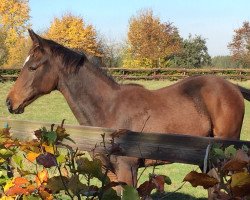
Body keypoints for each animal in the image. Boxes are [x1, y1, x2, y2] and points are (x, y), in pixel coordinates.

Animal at [5, 29, 250, 188]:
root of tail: (233, 87)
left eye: (32, 66)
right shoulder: (110, 172)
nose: (10, 102)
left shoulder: (127, 168)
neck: (109, 109)